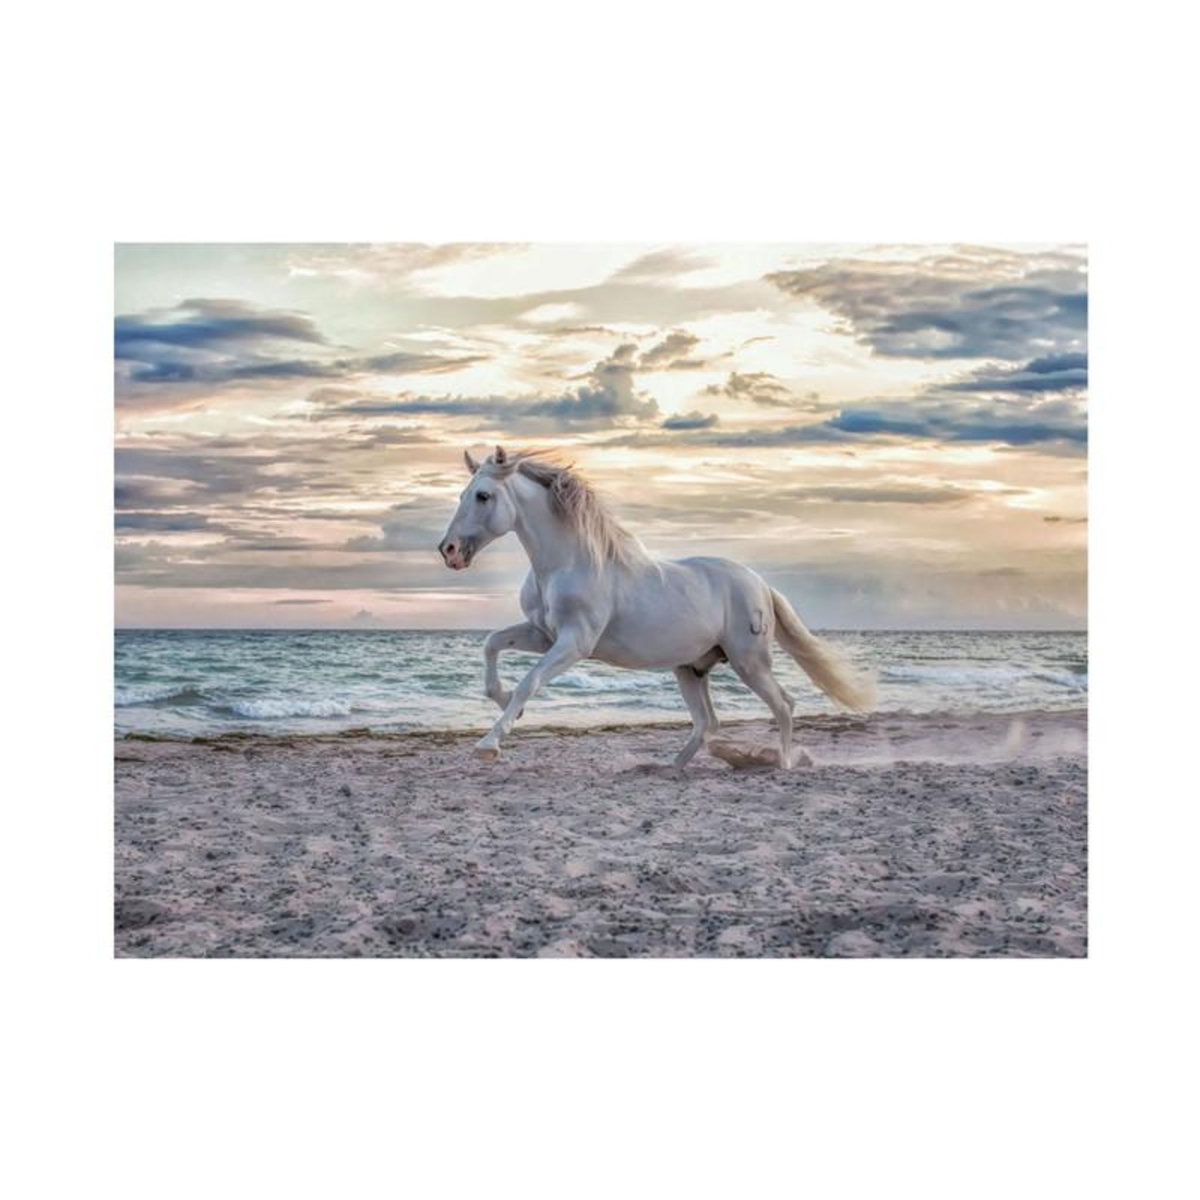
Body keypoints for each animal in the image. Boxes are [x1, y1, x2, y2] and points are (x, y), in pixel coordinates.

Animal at [437, 446, 875, 766]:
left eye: (483, 495)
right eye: (461, 495)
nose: (449, 551)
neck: (567, 563)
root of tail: (761, 585)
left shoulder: (574, 643)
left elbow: (530, 681)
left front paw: (490, 743)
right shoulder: (543, 634)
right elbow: (492, 645)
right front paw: (505, 703)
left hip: (749, 662)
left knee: (783, 705)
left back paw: (783, 764)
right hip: (691, 669)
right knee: (707, 722)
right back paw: (670, 766)